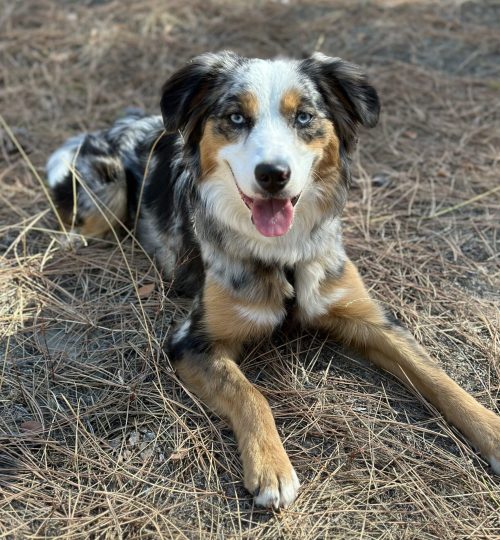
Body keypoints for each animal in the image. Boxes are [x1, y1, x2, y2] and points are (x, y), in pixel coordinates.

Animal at [45, 51, 498, 510]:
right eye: (235, 117)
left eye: (304, 117)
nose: (273, 174)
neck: (283, 254)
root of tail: (120, 122)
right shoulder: (191, 342)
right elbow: (251, 395)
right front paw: (271, 468)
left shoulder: (370, 319)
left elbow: (439, 377)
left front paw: (492, 430)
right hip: (108, 188)